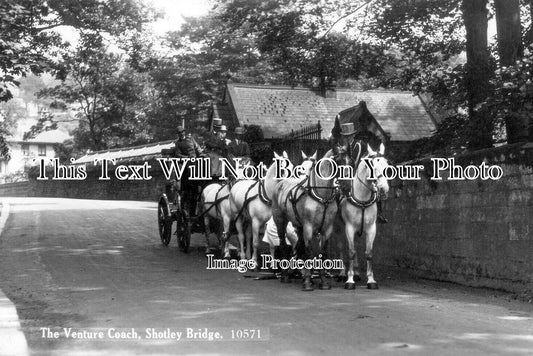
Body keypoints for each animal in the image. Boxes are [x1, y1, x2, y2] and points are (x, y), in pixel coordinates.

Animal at [338, 142, 388, 290]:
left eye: (386, 165)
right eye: (372, 166)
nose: (384, 188)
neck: (362, 200)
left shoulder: (371, 229)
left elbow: (368, 253)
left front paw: (371, 280)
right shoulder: (349, 227)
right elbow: (351, 252)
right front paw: (349, 281)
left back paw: (356, 272)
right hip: (338, 227)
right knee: (341, 246)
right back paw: (342, 273)